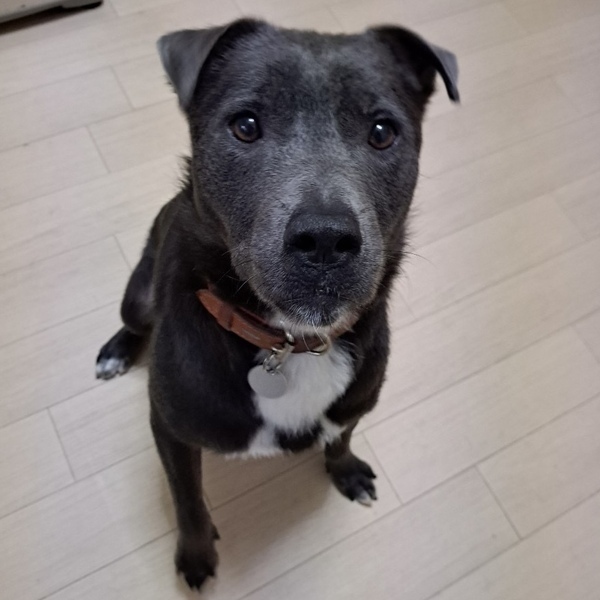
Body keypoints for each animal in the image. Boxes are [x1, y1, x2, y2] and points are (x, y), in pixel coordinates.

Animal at [96, 18, 458, 591]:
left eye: (383, 132)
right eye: (245, 125)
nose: (326, 240)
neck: (290, 342)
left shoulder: (356, 402)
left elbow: (340, 436)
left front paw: (346, 470)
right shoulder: (169, 430)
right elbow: (188, 500)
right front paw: (196, 556)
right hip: (139, 293)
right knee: (133, 319)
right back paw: (115, 351)